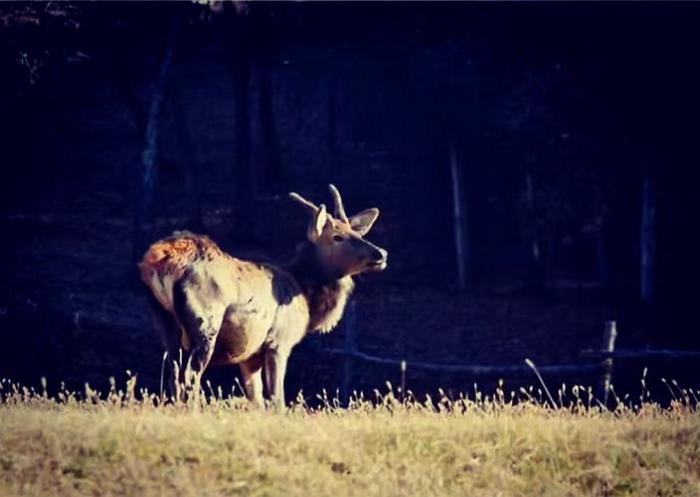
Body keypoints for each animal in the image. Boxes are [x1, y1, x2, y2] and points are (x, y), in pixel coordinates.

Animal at [139, 184, 386, 404]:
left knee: (173, 374)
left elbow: (256, 401)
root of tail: (157, 258)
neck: (305, 295)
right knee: (190, 376)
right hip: (205, 320)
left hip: (165, 322)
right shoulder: (279, 341)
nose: (381, 253)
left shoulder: (250, 356)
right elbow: (277, 400)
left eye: (355, 232)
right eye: (337, 237)